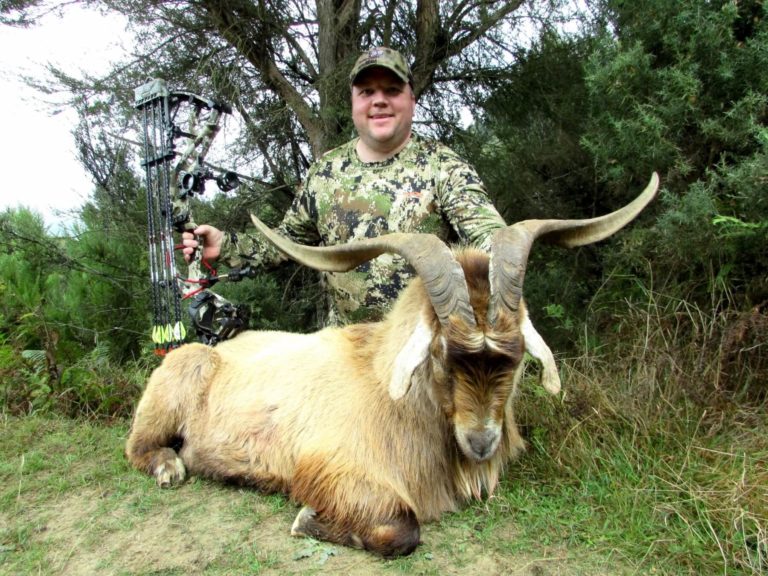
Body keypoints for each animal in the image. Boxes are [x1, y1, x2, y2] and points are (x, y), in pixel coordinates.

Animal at [126, 173, 659, 557]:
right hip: (178, 378)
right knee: (138, 446)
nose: (481, 444)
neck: (384, 377)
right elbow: (404, 530)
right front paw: (307, 520)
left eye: (515, 357)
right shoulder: (332, 468)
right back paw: (169, 467)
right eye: (441, 353)